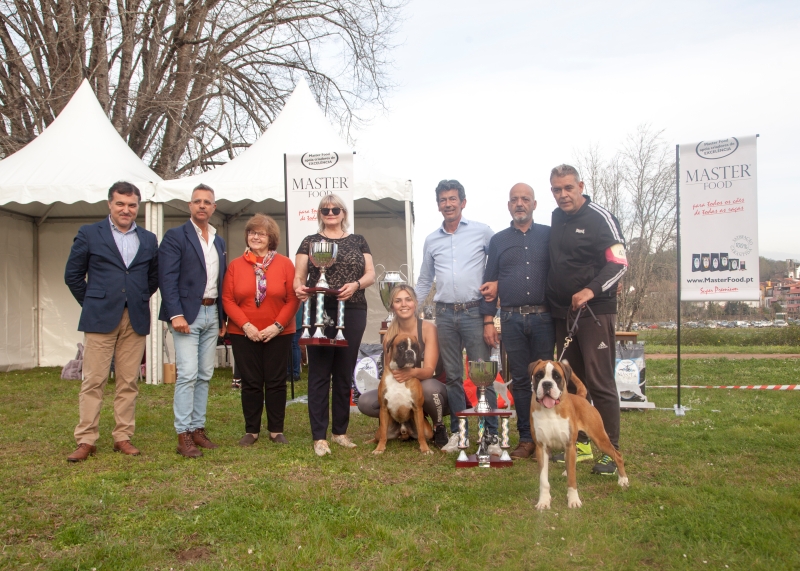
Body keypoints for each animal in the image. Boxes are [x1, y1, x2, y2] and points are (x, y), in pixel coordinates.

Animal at [529, 359, 628, 510]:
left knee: (617, 455)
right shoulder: (542, 448)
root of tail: (581, 397)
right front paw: (544, 501)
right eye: (539, 375)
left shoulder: (568, 445)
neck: (551, 409)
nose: (547, 384)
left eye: (556, 377)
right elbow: (543, 480)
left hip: (600, 439)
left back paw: (623, 480)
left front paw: (573, 500)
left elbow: (572, 480)